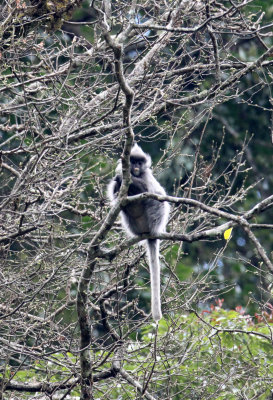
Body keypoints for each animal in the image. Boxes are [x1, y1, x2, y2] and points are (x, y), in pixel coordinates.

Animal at [108, 144, 168, 322]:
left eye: (139, 163)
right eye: (133, 161)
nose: (135, 166)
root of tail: (150, 233)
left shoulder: (146, 175)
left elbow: (150, 190)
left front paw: (121, 176)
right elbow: (114, 190)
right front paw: (119, 179)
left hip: (154, 217)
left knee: (156, 198)